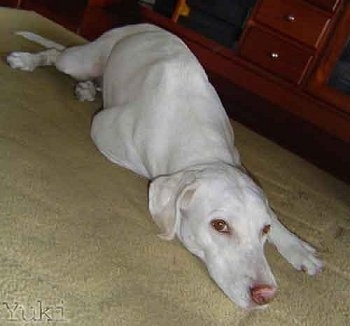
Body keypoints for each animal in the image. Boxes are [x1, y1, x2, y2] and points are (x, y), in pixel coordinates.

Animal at [6, 23, 322, 308]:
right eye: (220, 225)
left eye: (264, 230)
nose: (265, 295)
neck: (202, 146)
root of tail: (144, 25)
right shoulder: (103, 128)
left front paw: (297, 247)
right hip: (80, 60)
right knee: (55, 54)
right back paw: (27, 60)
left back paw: (87, 88)